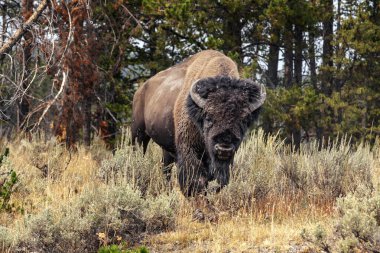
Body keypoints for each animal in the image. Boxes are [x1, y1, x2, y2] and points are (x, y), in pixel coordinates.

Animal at [132, 49, 266, 196]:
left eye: (244, 120)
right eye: (208, 117)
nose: (223, 148)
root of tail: (140, 90)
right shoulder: (189, 148)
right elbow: (194, 178)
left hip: (166, 147)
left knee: (166, 167)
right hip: (138, 134)